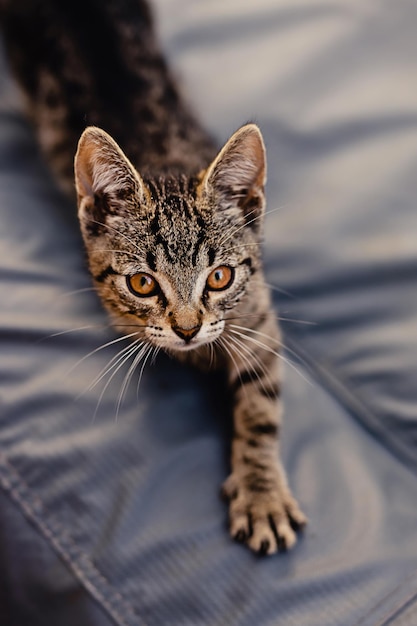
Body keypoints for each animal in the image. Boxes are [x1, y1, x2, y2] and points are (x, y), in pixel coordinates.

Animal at [0, 0, 306, 552]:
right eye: (142, 283)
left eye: (220, 277)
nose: (187, 328)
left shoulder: (260, 319)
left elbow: (261, 408)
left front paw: (261, 492)